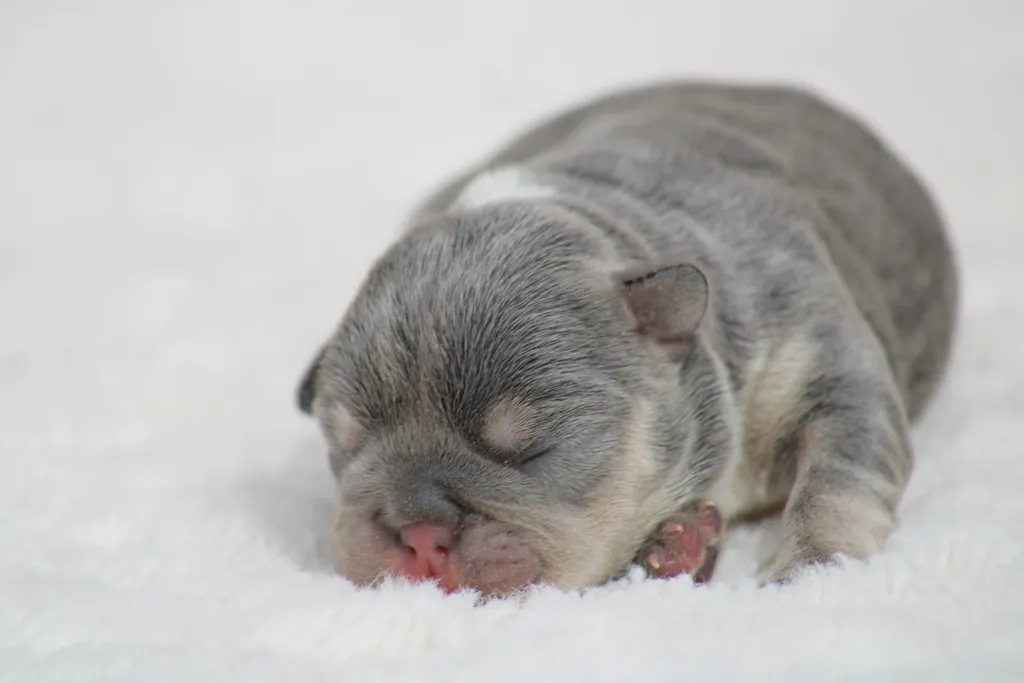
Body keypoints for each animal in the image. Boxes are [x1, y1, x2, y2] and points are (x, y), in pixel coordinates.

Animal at [296, 81, 958, 598]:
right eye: (348, 451)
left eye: (530, 451)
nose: (419, 535)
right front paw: (675, 549)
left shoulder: (826, 363)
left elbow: (836, 481)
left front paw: (811, 570)